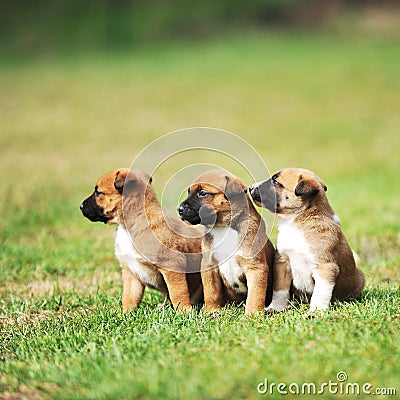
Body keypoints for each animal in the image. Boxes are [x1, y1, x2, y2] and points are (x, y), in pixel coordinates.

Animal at [79, 169, 203, 312]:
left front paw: (184, 312)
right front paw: (126, 314)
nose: (80, 206)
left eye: (98, 192)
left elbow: (178, 294)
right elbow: (129, 297)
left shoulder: (173, 265)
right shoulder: (130, 273)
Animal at [179, 167, 276, 314]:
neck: (224, 227)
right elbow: (211, 292)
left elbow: (255, 294)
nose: (179, 209)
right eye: (189, 192)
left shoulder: (255, 267)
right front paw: (212, 311)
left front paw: (252, 313)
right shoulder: (209, 266)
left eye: (202, 193)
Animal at [250, 168, 366, 312]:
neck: (296, 221)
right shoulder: (282, 262)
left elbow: (321, 293)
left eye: (275, 181)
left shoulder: (325, 267)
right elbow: (280, 290)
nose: (250, 187)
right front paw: (275, 308)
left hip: (359, 277)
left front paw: (315, 312)